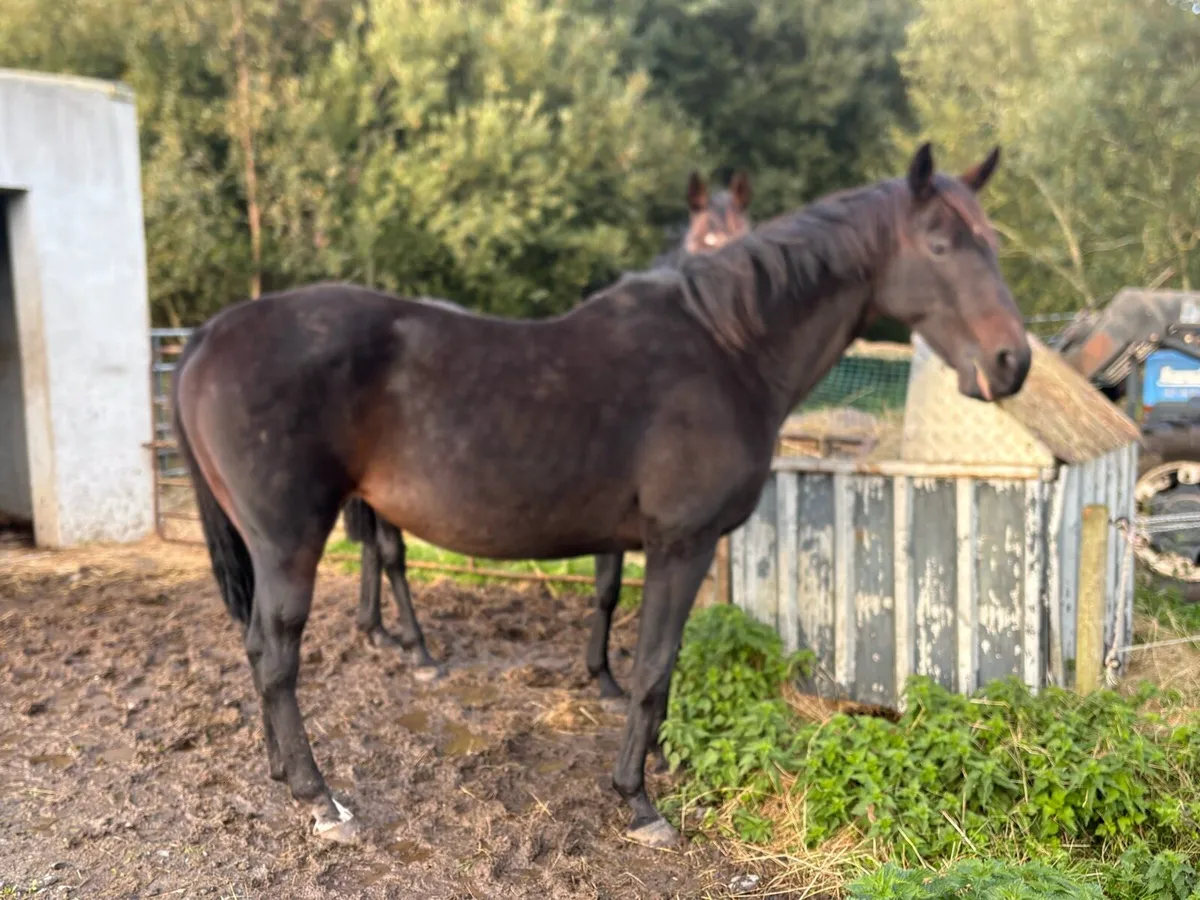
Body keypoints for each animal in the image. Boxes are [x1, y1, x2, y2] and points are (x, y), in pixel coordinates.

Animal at [341, 169, 754, 705]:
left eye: (749, 234)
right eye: (704, 241)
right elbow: (608, 588)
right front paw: (604, 679)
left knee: (372, 548)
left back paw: (376, 631)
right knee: (392, 554)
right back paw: (419, 651)